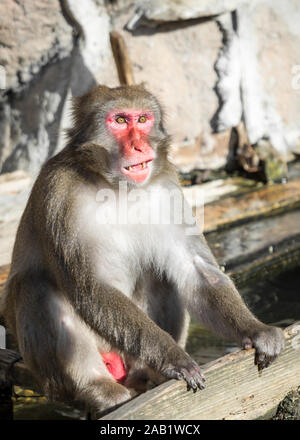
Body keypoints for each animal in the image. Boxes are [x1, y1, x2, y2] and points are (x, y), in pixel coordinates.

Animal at [0, 84, 284, 418]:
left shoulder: (168, 187)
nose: (138, 145)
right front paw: (173, 357)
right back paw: (96, 388)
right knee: (34, 285)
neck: (117, 187)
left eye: (143, 119)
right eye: (120, 120)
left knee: (161, 271)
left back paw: (148, 374)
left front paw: (256, 331)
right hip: (70, 364)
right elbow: (91, 289)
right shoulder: (60, 194)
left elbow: (196, 272)